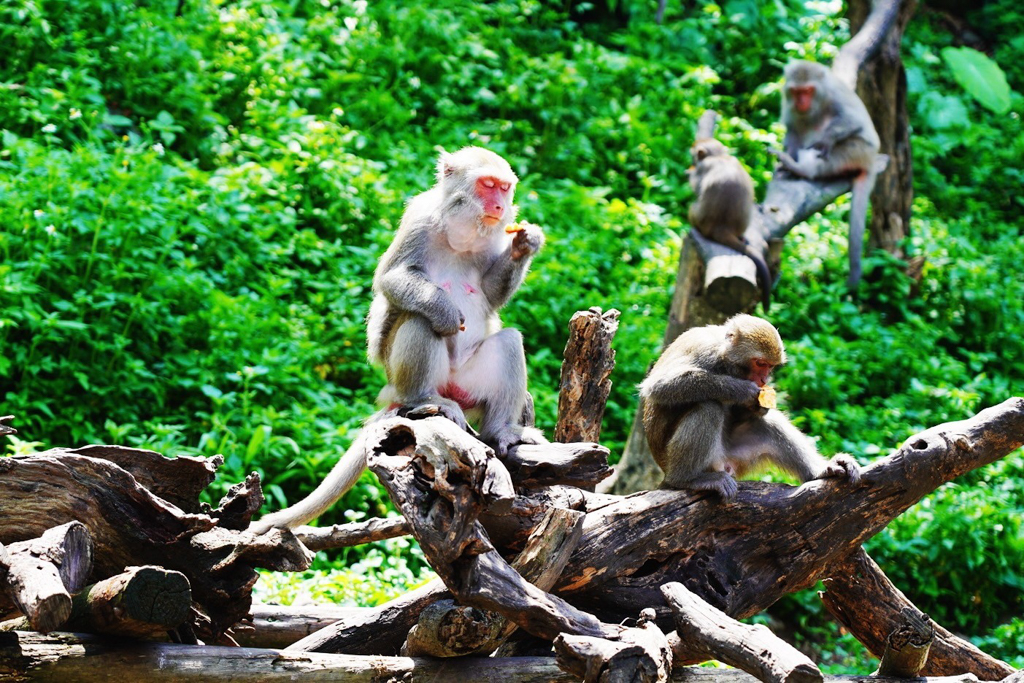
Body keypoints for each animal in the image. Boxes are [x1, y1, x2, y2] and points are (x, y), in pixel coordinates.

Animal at [643, 313, 860, 499]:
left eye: (770, 366)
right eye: (760, 363)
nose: (764, 380)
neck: (724, 357)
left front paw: (758, 406)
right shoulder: (703, 350)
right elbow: (659, 386)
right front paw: (742, 391)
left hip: (738, 455)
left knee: (769, 422)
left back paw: (820, 470)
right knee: (708, 406)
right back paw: (687, 479)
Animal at [688, 140, 774, 311]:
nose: (693, 161)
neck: (719, 156)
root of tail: (722, 229)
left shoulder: (703, 167)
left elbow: (695, 185)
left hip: (697, 219)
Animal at [770, 59, 884, 290]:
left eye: (808, 90)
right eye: (796, 91)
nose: (802, 102)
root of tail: (870, 161)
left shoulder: (834, 95)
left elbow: (852, 120)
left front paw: (825, 141)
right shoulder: (788, 102)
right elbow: (793, 129)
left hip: (857, 152)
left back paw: (802, 168)